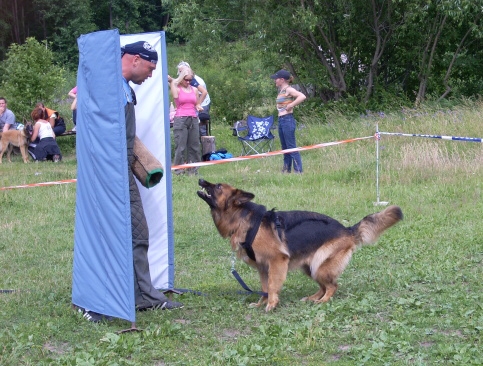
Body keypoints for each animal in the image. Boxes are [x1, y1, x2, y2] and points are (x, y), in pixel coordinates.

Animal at [198, 179, 404, 310]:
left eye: (218, 186)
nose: (200, 179)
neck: (242, 218)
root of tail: (347, 229)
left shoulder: (276, 261)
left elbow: (271, 286)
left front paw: (271, 305)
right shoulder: (263, 267)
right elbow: (264, 288)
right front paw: (261, 303)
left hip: (319, 266)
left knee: (332, 286)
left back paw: (322, 301)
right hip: (310, 267)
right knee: (323, 286)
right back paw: (312, 298)